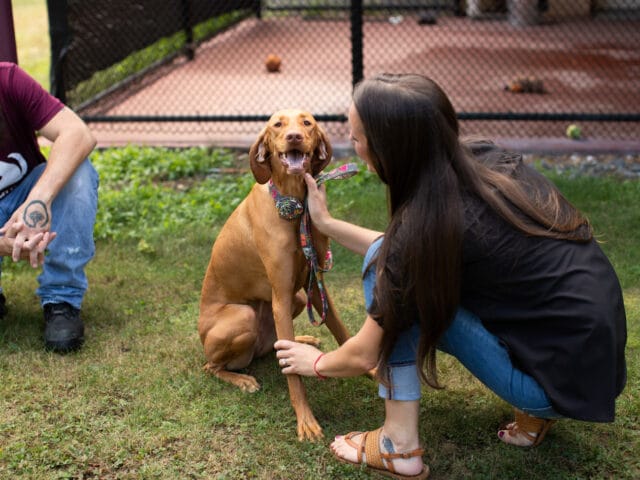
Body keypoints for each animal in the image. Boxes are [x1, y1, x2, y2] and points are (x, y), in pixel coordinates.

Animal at [199, 108, 350, 438]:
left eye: (307, 123)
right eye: (277, 125)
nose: (294, 136)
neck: (293, 205)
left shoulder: (315, 286)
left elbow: (343, 332)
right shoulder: (280, 296)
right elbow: (294, 378)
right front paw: (306, 421)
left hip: (296, 300)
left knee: (277, 347)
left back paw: (302, 341)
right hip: (244, 316)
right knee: (212, 367)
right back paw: (242, 379)